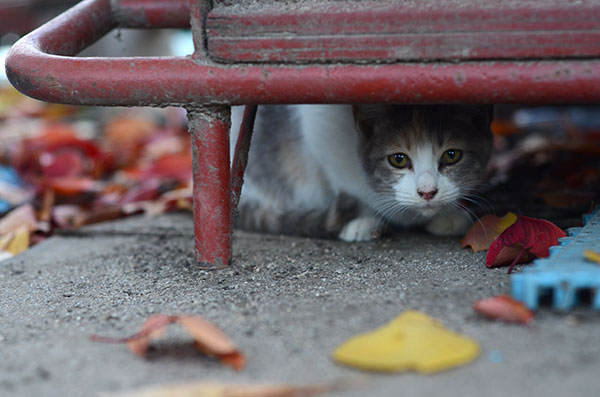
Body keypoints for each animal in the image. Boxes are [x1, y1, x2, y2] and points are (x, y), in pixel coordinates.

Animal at [230, 104, 492, 241]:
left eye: (452, 155)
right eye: (398, 159)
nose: (427, 192)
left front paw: (448, 214)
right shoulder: (319, 123)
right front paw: (361, 219)